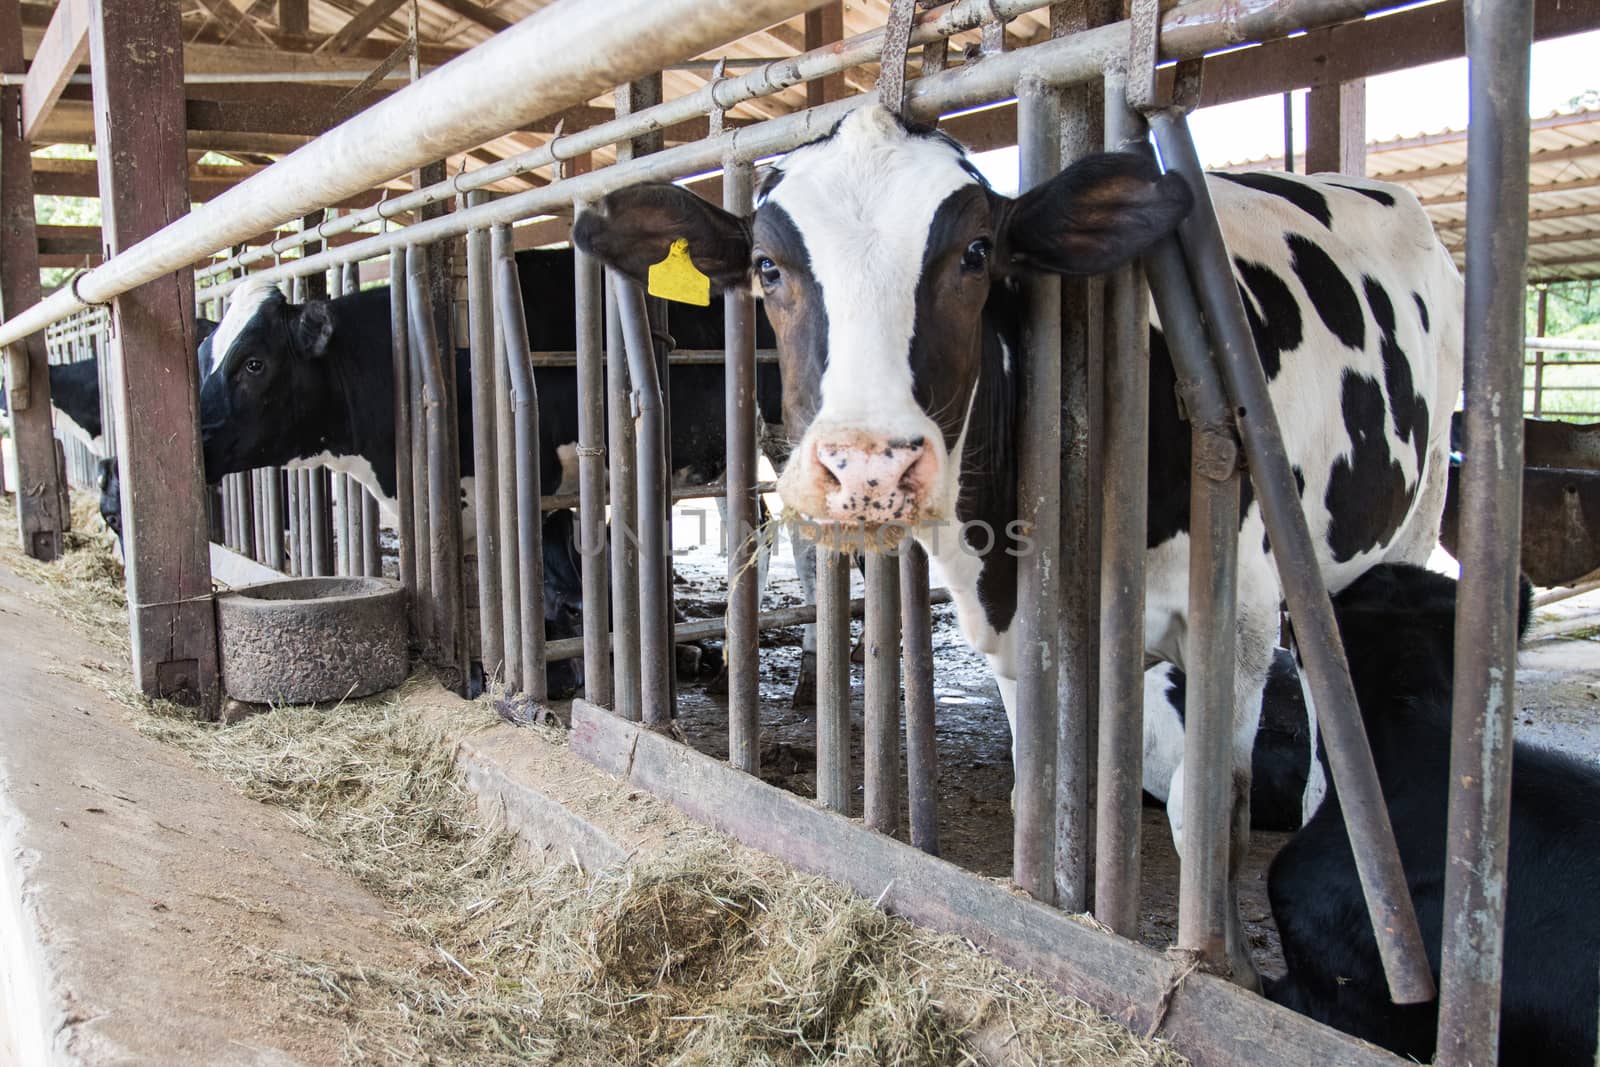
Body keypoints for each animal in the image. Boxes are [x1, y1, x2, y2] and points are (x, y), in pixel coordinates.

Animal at [576, 103, 1465, 991]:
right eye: (766, 267)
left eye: (976, 254)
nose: (869, 467)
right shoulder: (1019, 637)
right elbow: (1044, 785)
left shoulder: (1239, 618)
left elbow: (1211, 810)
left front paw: (1231, 968)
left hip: (1404, 528)